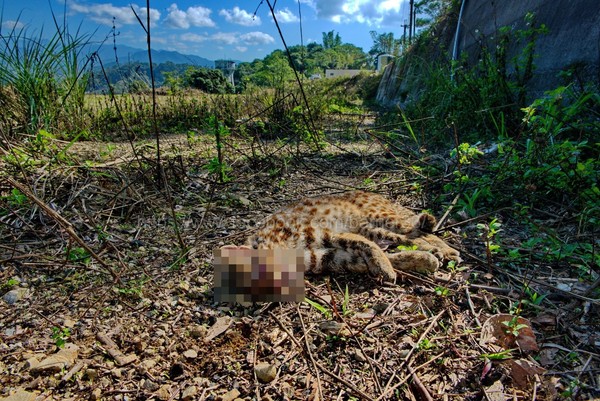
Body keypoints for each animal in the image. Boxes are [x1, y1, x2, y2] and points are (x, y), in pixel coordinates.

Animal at [230, 191, 460, 282]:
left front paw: (385, 267)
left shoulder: (326, 233)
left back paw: (445, 250)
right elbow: (383, 256)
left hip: (380, 218)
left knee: (414, 233)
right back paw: (439, 252)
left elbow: (367, 246)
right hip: (371, 225)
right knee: (411, 235)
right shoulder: (330, 257)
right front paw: (418, 261)